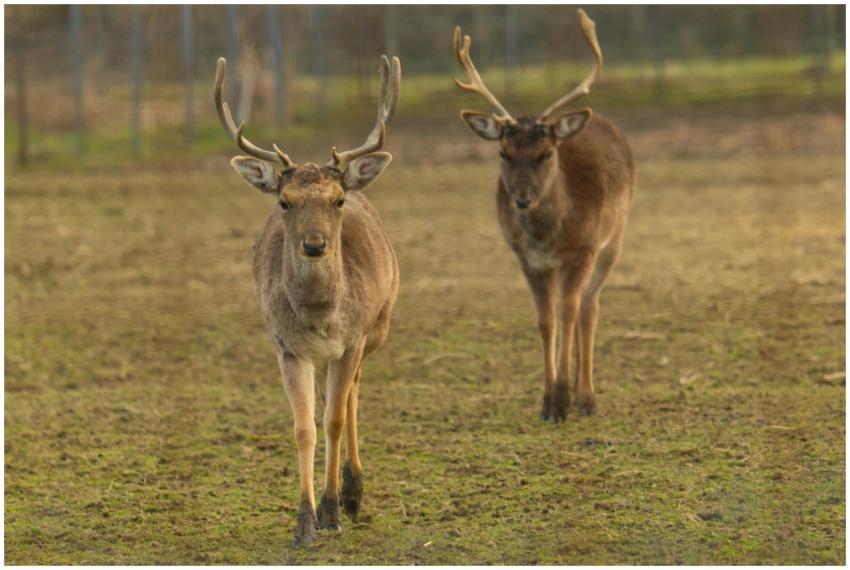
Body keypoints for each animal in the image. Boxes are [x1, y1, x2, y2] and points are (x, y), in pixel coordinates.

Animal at [214, 54, 400, 546]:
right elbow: (304, 428)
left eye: (337, 200)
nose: (314, 244)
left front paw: (333, 511)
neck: (320, 317)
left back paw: (354, 492)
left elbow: (333, 420)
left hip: (379, 328)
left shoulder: (353, 340)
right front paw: (304, 521)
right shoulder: (288, 347)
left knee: (352, 392)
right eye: (284, 201)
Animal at [452, 9, 635, 422]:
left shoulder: (582, 251)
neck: (549, 236)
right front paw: (548, 402)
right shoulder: (528, 260)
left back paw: (587, 397)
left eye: (546, 153)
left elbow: (568, 313)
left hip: (614, 240)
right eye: (503, 152)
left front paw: (563, 399)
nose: (521, 199)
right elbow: (546, 320)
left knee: (590, 308)